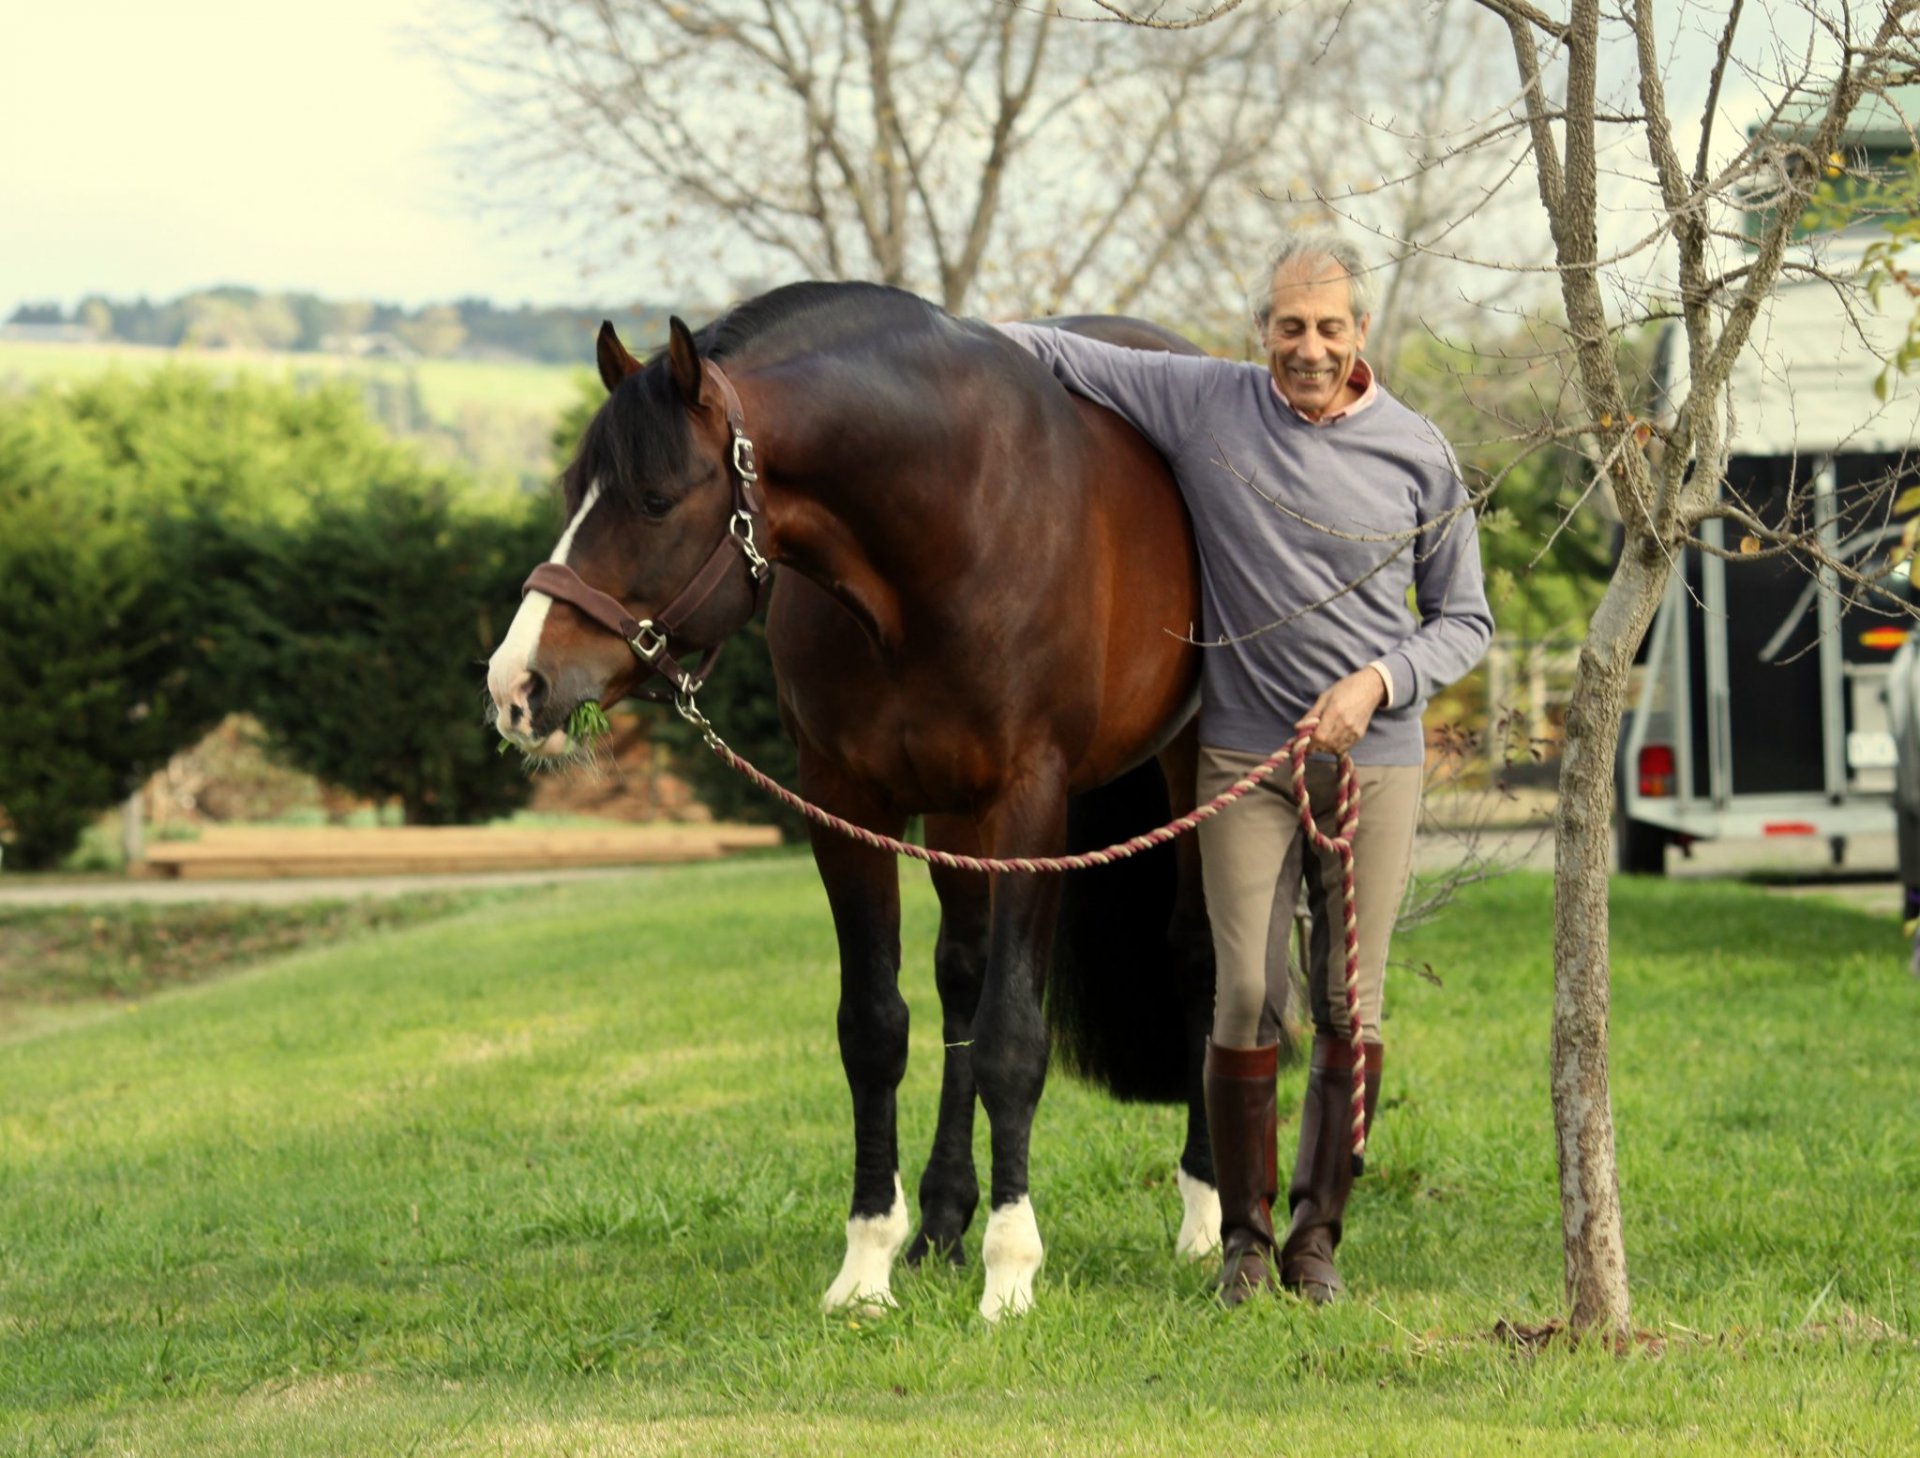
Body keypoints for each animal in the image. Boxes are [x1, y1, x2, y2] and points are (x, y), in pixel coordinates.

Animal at [487, 278, 1221, 1313]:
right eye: (569, 495)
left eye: (654, 499)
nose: (517, 687)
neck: (949, 521)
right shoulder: (848, 806)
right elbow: (877, 1029)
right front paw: (870, 1263)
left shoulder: (1032, 804)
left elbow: (1012, 1038)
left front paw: (1011, 1274)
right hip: (953, 812)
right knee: (961, 975)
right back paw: (944, 1223)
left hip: (1189, 763)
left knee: (1197, 957)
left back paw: (1206, 1216)